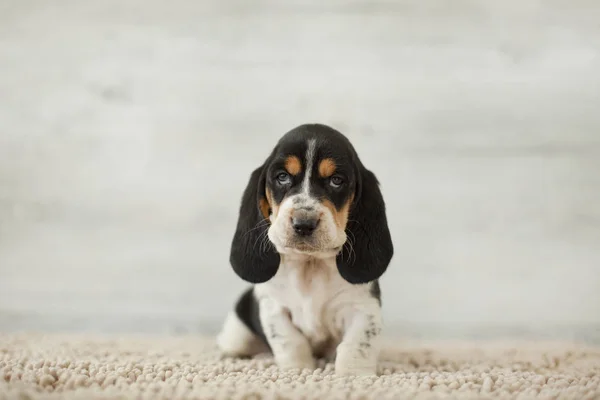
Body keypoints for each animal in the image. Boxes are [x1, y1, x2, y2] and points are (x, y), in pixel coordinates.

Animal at [216, 123, 394, 376]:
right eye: (282, 177)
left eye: (336, 180)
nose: (304, 223)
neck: (310, 264)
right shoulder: (274, 307)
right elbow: (291, 341)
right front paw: (297, 370)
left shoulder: (362, 307)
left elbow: (357, 344)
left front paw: (354, 375)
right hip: (237, 333)